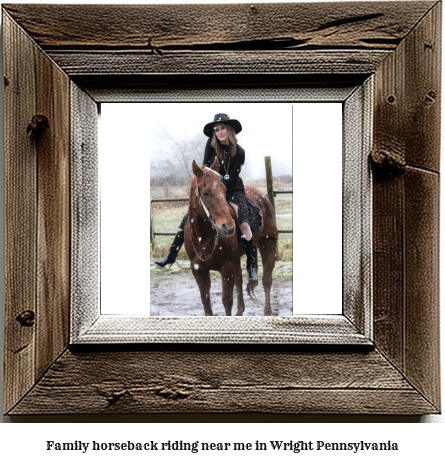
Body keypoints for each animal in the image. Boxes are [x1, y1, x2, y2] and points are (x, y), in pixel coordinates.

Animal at [182, 157, 276, 316]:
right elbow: (206, 301)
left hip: (268, 243)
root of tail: (263, 197)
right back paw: (240, 311)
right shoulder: (198, 270)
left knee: (267, 279)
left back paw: (267, 311)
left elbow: (227, 300)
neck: (203, 237)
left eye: (224, 190)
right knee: (239, 279)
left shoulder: (227, 267)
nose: (228, 226)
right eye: (205, 193)